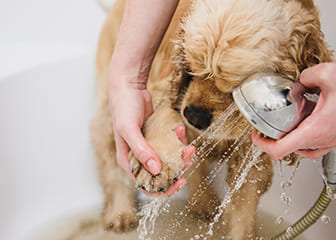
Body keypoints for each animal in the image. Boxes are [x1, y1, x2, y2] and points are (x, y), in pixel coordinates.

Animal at [90, 0, 334, 238]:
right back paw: (120, 214)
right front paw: (155, 166)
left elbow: (243, 211)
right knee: (111, 161)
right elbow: (163, 115)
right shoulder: (166, 88)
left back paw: (204, 204)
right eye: (191, 67)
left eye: (234, 87)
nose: (193, 116)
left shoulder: (251, 157)